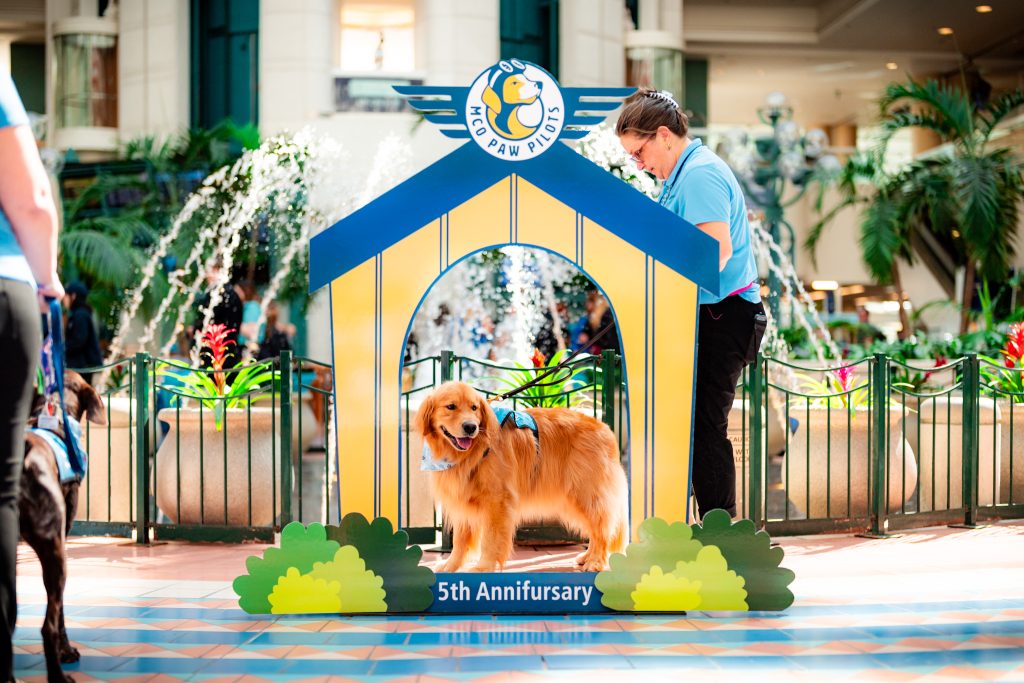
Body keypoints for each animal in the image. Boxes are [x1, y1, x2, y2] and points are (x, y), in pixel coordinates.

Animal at [19, 374, 105, 683]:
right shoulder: (62, 538)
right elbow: (62, 612)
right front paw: (67, 652)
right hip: (55, 553)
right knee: (48, 626)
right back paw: (58, 676)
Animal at [413, 382, 622, 573]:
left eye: (474, 408)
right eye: (451, 406)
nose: (471, 427)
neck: (473, 452)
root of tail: (605, 428)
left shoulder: (497, 502)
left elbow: (490, 539)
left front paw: (483, 567)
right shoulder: (463, 500)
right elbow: (459, 541)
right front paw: (451, 565)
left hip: (584, 494)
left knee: (602, 529)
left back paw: (595, 561)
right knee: (596, 529)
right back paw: (587, 557)